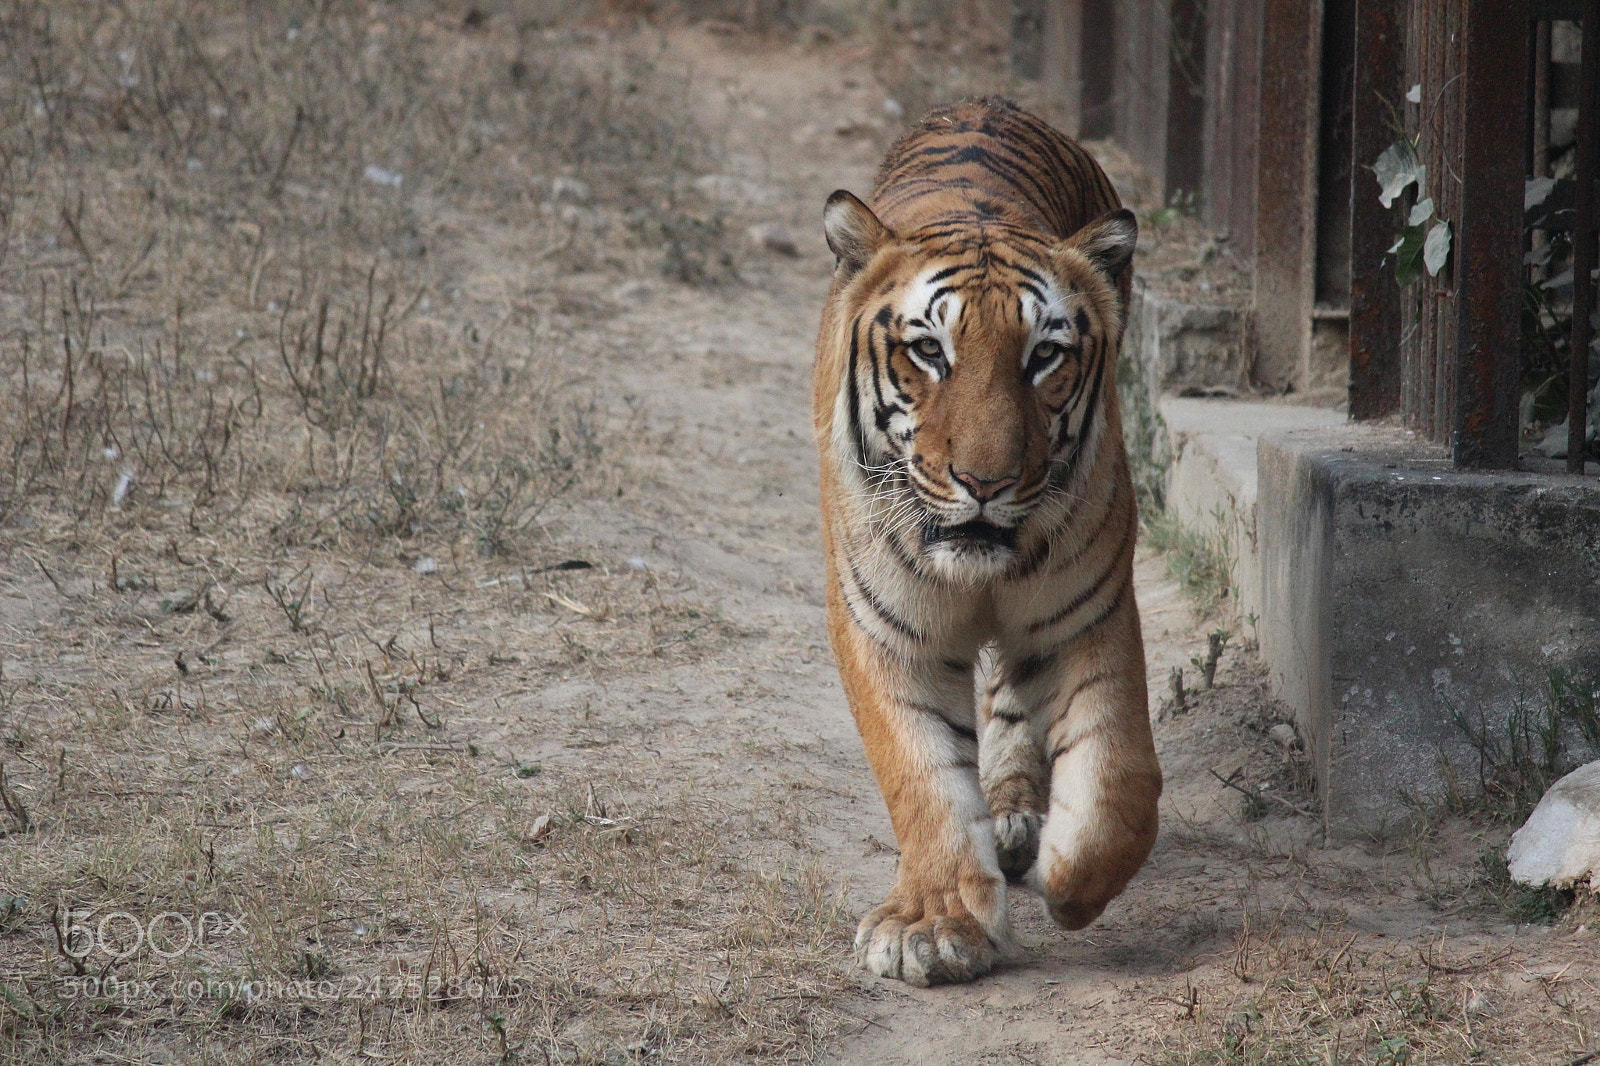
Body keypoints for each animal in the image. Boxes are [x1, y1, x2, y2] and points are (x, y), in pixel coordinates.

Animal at [812, 97, 1161, 987]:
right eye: (929, 351)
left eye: (1045, 356)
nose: (986, 482)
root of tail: (987, 104)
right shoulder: (884, 628)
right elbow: (922, 776)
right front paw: (933, 928)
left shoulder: (1088, 613)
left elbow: (1116, 782)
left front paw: (1070, 881)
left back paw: (1019, 822)